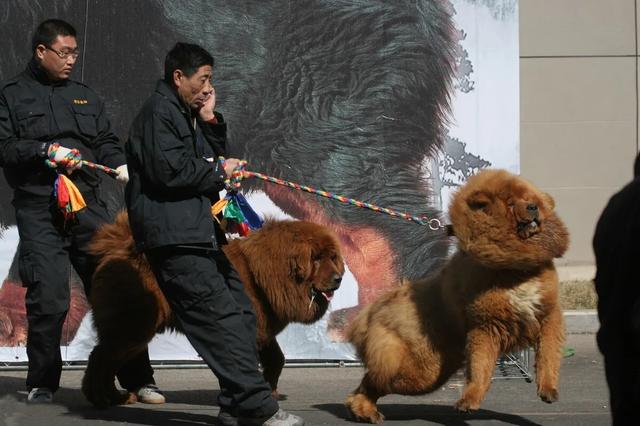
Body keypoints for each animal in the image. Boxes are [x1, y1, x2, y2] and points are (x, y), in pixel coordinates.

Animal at [81, 211, 344, 408]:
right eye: (317, 258)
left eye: (333, 257)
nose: (338, 278)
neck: (264, 274)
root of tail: (119, 249)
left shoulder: (262, 330)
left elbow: (277, 359)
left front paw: (270, 391)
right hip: (133, 328)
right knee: (100, 359)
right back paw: (101, 398)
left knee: (107, 360)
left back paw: (114, 397)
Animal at [344, 170, 568, 422]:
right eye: (511, 203)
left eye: (531, 199)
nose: (532, 207)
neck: (516, 269)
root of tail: (369, 313)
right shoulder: (485, 327)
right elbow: (480, 369)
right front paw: (468, 402)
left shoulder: (548, 316)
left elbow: (548, 356)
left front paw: (548, 390)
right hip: (418, 372)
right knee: (372, 381)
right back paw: (363, 411)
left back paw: (362, 411)